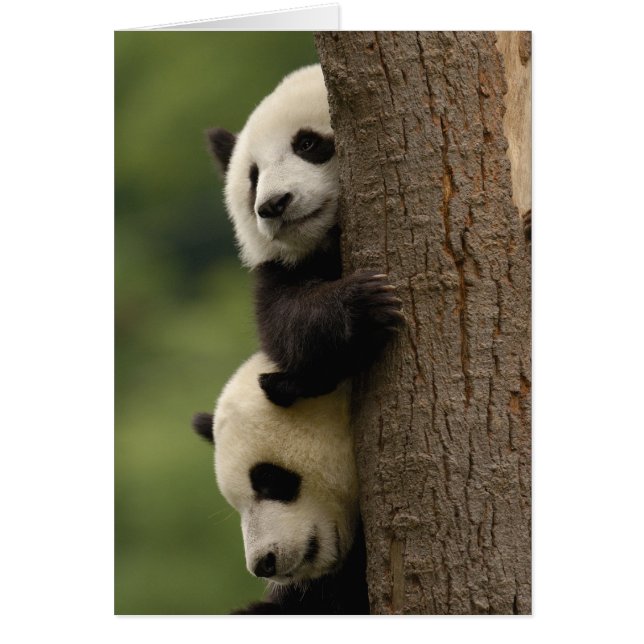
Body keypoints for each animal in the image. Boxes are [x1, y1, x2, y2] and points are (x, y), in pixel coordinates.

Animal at [207, 64, 404, 407]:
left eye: (307, 144)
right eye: (254, 177)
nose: (274, 204)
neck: (327, 242)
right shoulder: (280, 267)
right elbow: (283, 324)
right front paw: (364, 302)